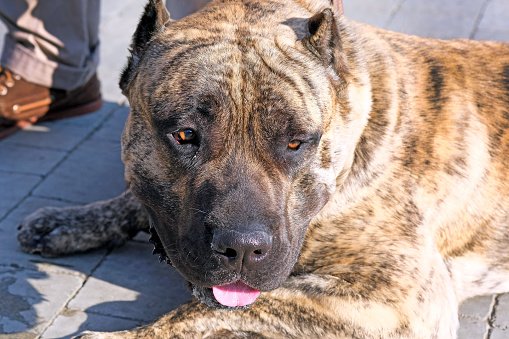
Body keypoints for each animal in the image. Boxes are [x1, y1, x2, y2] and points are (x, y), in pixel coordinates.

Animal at [16, 0, 508, 338]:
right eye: (185, 135)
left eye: (296, 143)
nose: (241, 247)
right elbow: (132, 202)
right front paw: (68, 221)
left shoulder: (399, 299)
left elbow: (219, 309)